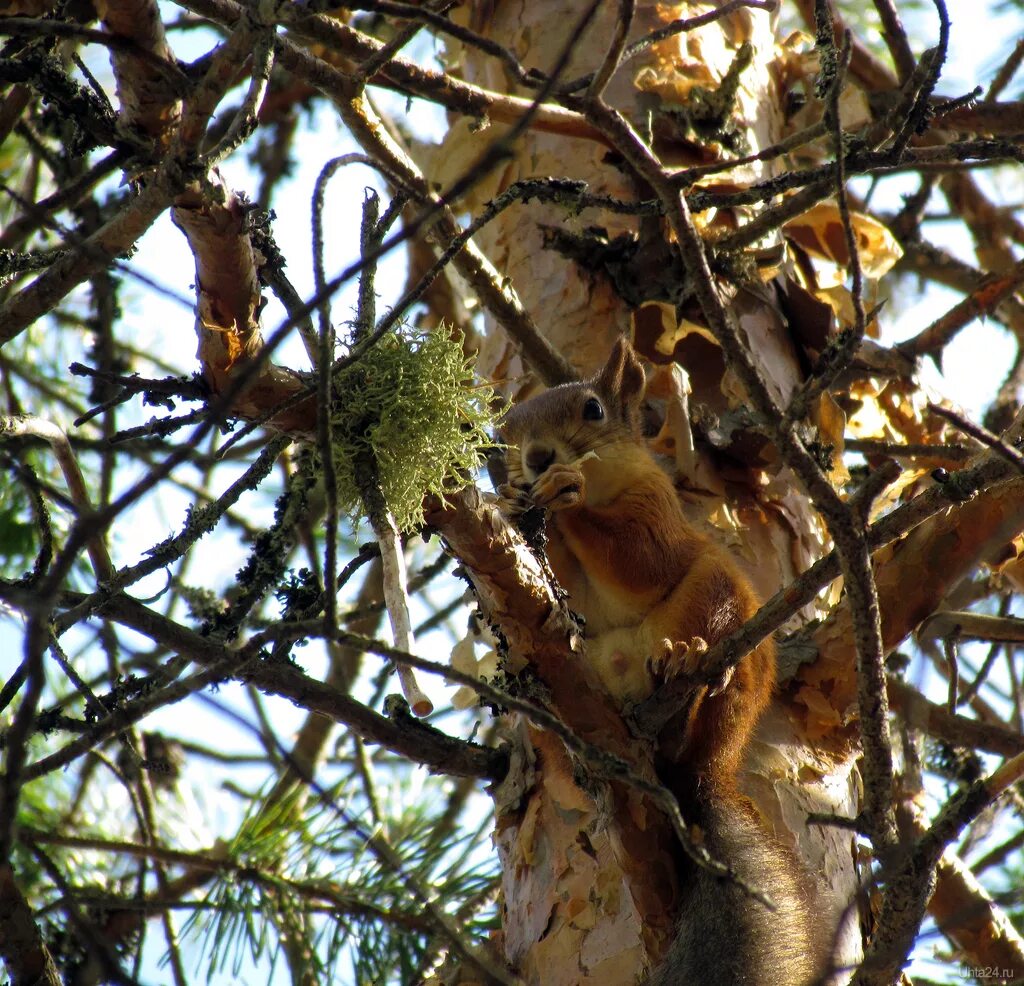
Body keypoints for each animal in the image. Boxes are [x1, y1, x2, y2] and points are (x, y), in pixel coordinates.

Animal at [493, 341, 815, 986]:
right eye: (506, 434)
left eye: (592, 408)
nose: (536, 459)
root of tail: (713, 766)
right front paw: (516, 503)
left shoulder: (657, 512)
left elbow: (639, 558)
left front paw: (566, 494)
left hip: (717, 595)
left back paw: (693, 672)